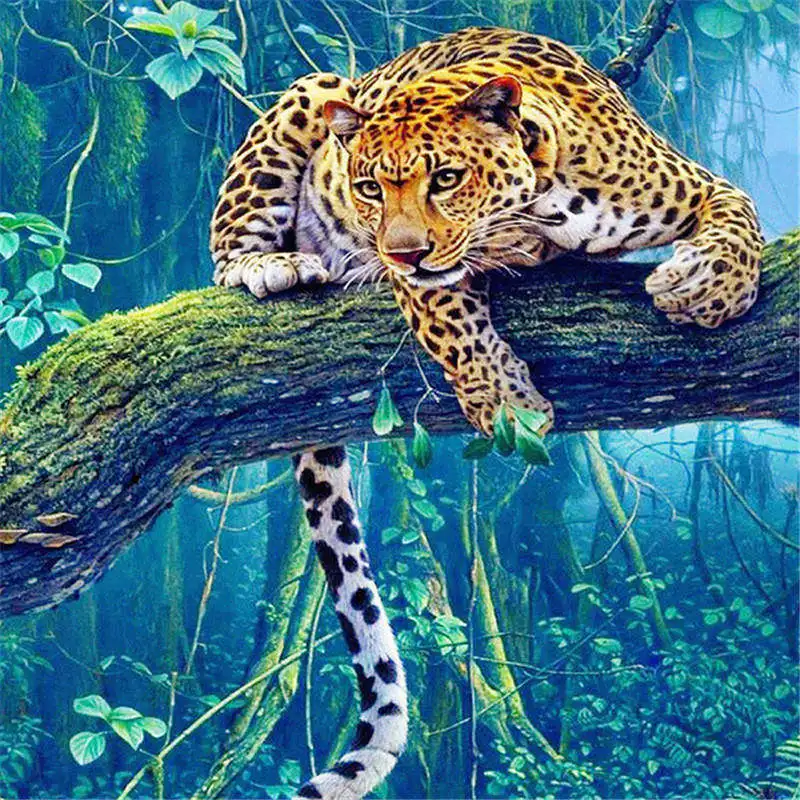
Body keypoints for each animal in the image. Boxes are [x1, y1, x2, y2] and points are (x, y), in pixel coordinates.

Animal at [209, 27, 763, 800]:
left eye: (445, 178)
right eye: (369, 187)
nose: (402, 251)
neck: (542, 201)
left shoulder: (690, 182)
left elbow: (739, 210)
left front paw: (709, 288)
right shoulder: (423, 280)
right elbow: (450, 318)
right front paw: (506, 402)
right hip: (313, 93)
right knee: (226, 247)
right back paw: (268, 266)